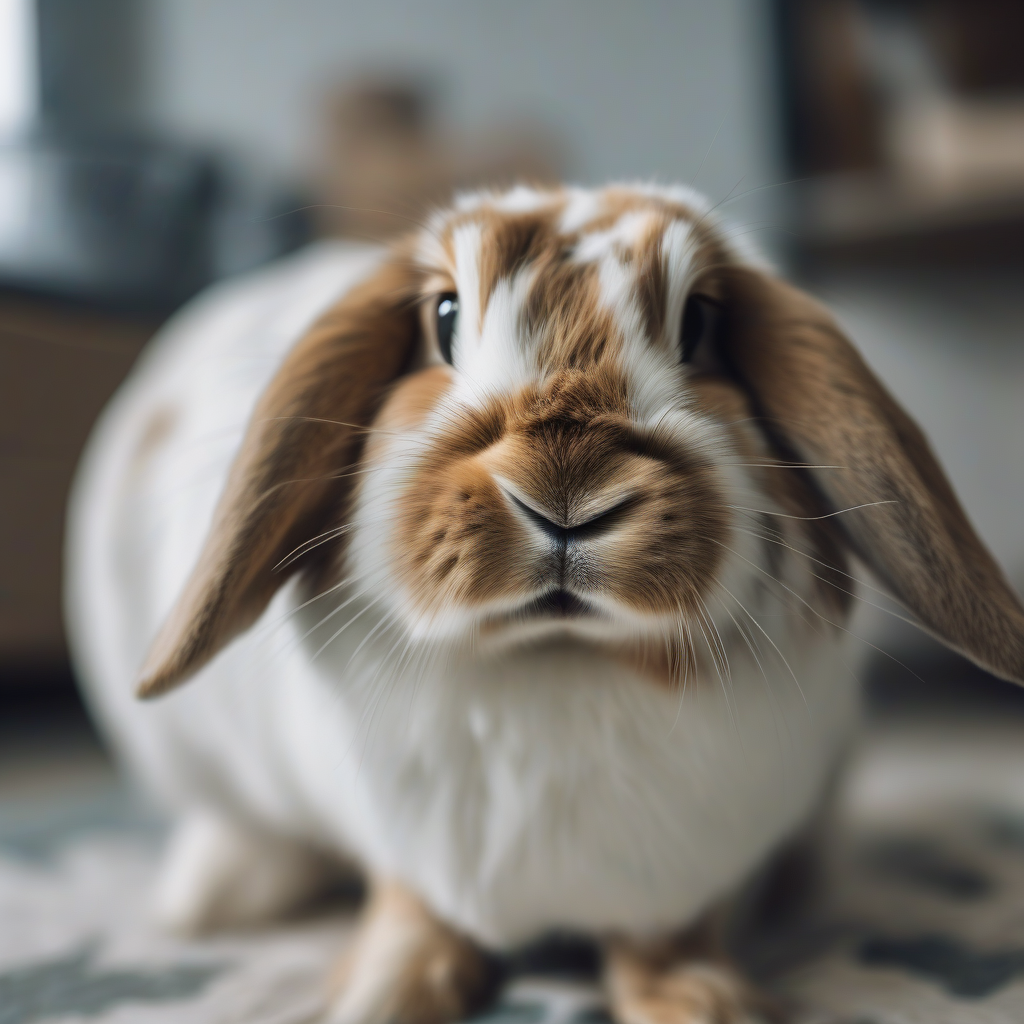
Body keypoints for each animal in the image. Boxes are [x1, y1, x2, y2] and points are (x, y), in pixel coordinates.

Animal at [65, 183, 1024, 1024]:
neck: (557, 661)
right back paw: (212, 900)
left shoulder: (691, 868)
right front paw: (373, 997)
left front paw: (706, 1004)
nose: (566, 493)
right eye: (443, 318)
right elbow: (413, 913)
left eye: (701, 324)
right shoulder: (404, 844)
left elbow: (670, 937)